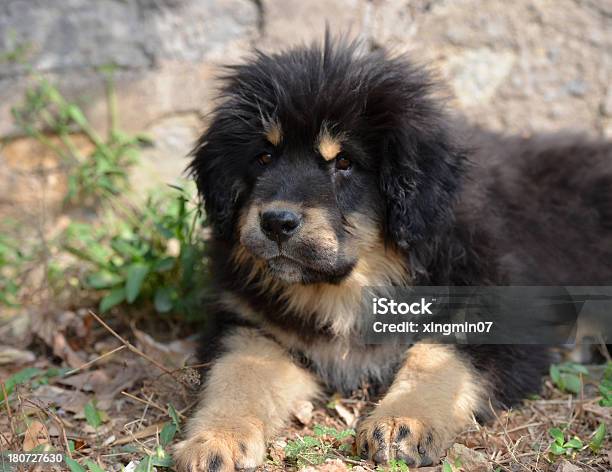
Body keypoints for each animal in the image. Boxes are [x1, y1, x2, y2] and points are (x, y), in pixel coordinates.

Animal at [172, 37, 612, 472]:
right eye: (263, 157)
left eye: (344, 162)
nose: (276, 222)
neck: (352, 287)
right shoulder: (251, 324)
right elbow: (238, 374)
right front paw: (215, 440)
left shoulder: (498, 311)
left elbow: (437, 359)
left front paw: (403, 421)